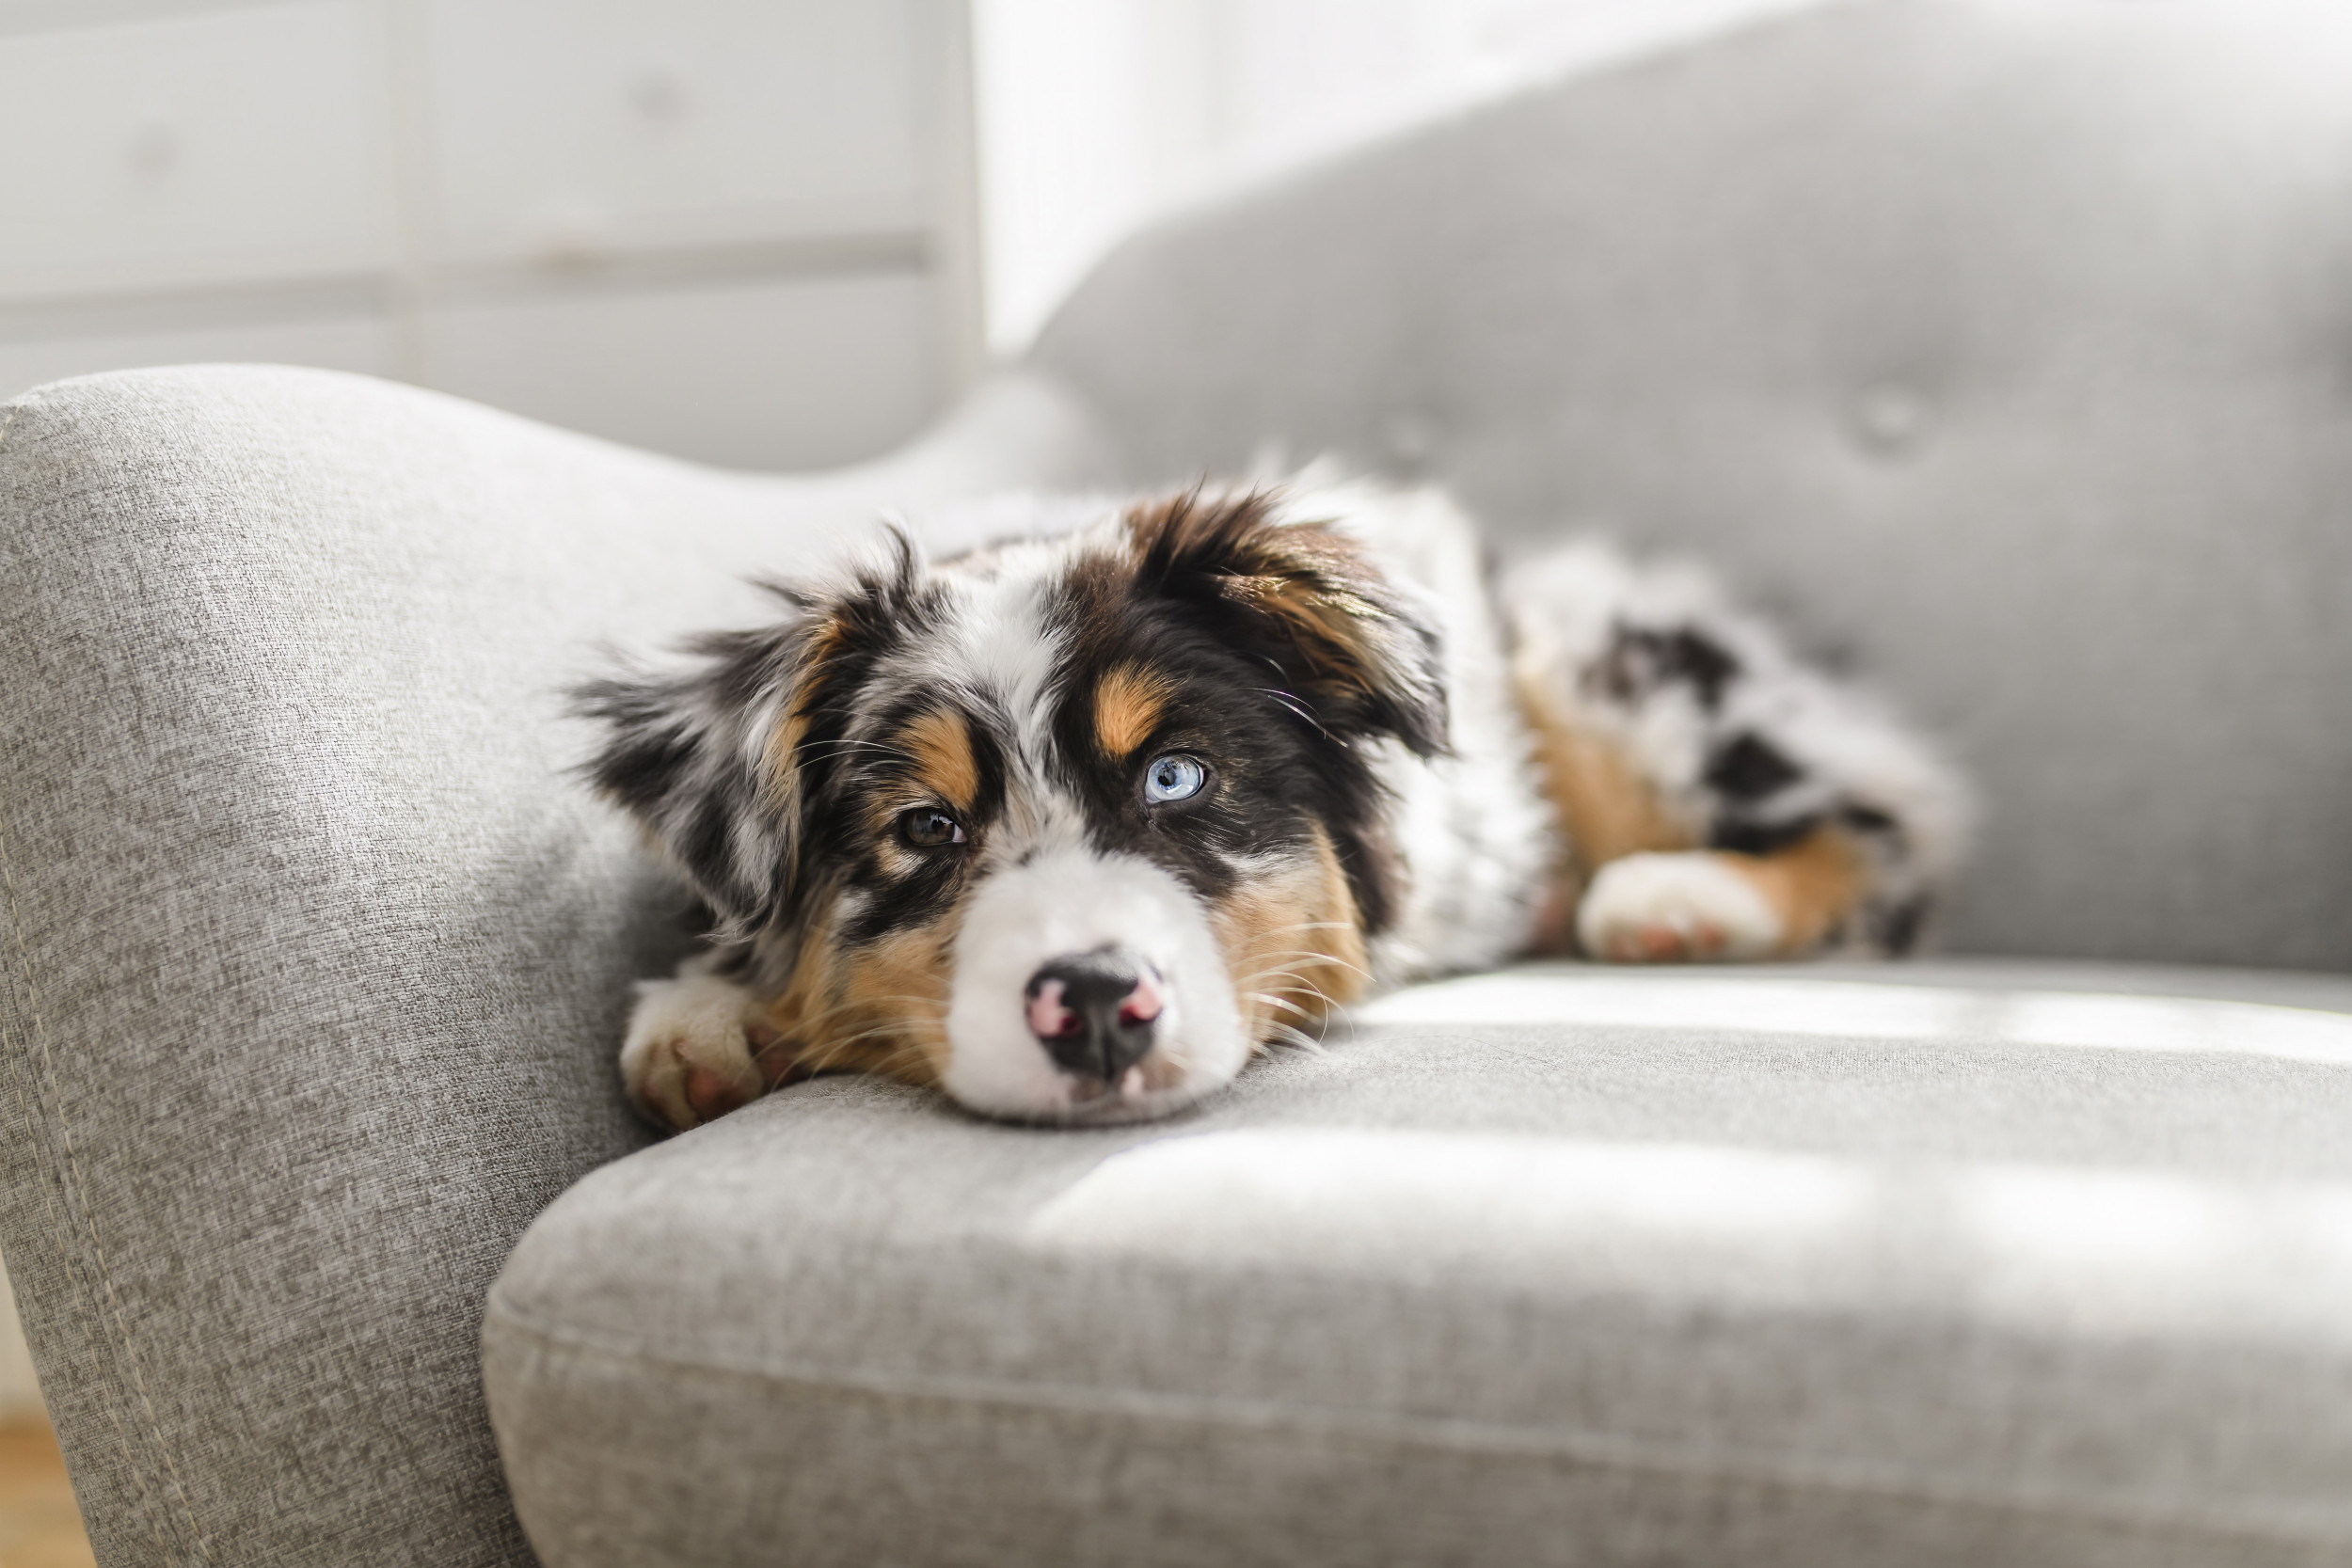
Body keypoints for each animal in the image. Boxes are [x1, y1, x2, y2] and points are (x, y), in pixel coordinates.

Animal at [574, 479, 1966, 1128]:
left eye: (1176, 775)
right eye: (927, 826)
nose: (1096, 1003)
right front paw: (708, 1014)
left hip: (1596, 653)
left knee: (1892, 827)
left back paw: (1671, 896)